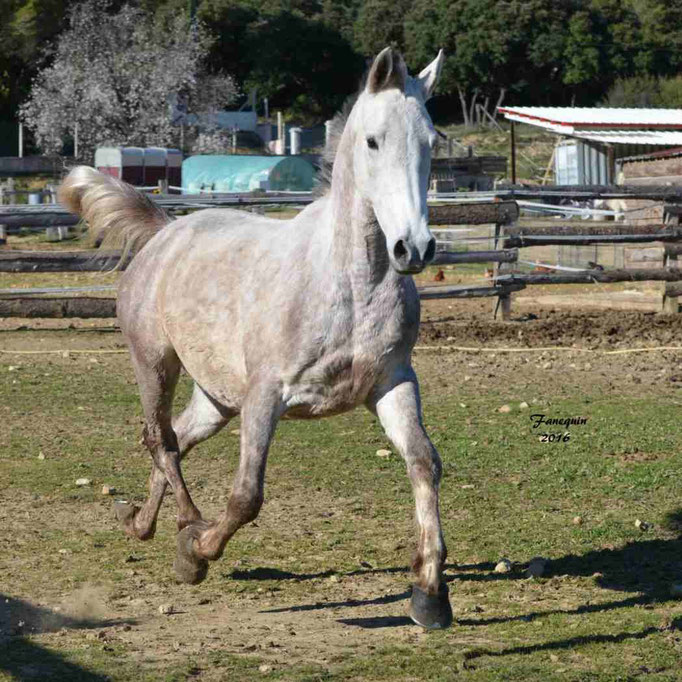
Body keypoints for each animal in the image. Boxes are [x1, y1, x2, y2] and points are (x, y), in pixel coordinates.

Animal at [59, 47, 452, 628]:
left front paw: (429, 595)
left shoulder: (393, 383)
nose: (414, 248)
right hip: (155, 363)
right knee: (161, 440)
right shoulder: (267, 395)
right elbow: (246, 496)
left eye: (431, 140)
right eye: (373, 140)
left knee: (178, 437)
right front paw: (196, 552)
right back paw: (186, 527)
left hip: (218, 398)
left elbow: (424, 463)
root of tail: (165, 233)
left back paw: (141, 522)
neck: (350, 283)